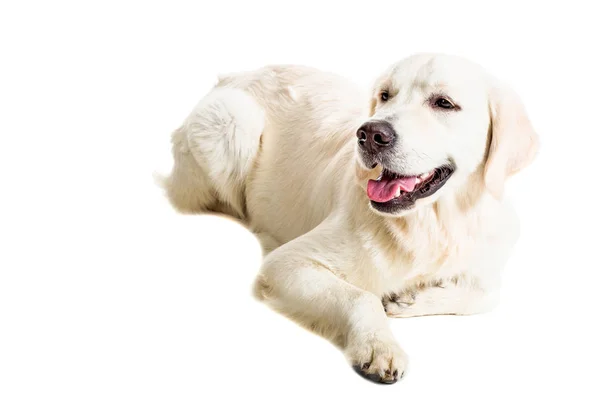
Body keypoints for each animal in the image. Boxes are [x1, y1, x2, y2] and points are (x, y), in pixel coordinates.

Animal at [159, 51, 540, 382]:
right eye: (385, 95)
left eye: (444, 103)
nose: (370, 134)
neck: (432, 224)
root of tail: (233, 75)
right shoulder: (286, 263)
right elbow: (360, 296)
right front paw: (379, 346)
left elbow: (487, 294)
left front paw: (409, 299)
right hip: (233, 119)